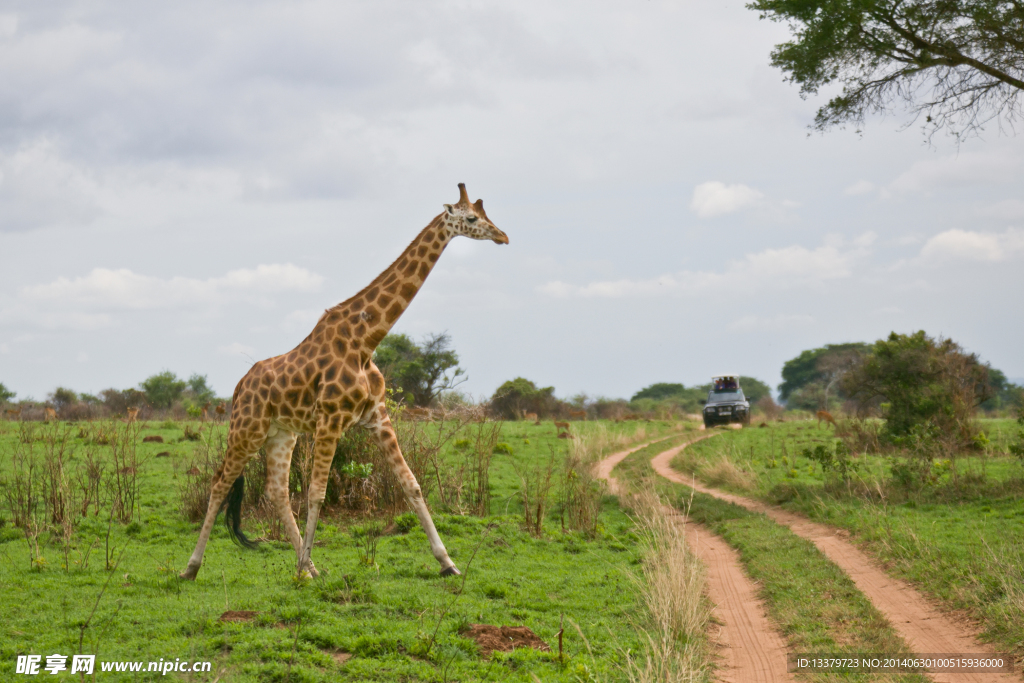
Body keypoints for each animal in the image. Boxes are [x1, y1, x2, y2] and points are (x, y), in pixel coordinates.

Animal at [182, 184, 509, 581]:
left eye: (487, 214)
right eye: (472, 218)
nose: (503, 236)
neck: (365, 340)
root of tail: (239, 387)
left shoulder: (378, 417)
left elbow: (412, 484)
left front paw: (448, 563)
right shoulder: (331, 420)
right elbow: (317, 493)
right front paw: (301, 569)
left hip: (281, 433)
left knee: (276, 491)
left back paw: (310, 568)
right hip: (247, 429)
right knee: (220, 484)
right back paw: (192, 567)